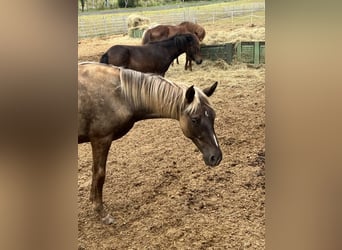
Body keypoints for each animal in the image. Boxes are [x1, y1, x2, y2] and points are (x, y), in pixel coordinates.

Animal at [77, 62, 222, 225]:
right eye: (195, 119)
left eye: (213, 116)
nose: (216, 157)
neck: (120, 95)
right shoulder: (101, 139)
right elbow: (99, 173)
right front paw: (100, 211)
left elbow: (95, 172)